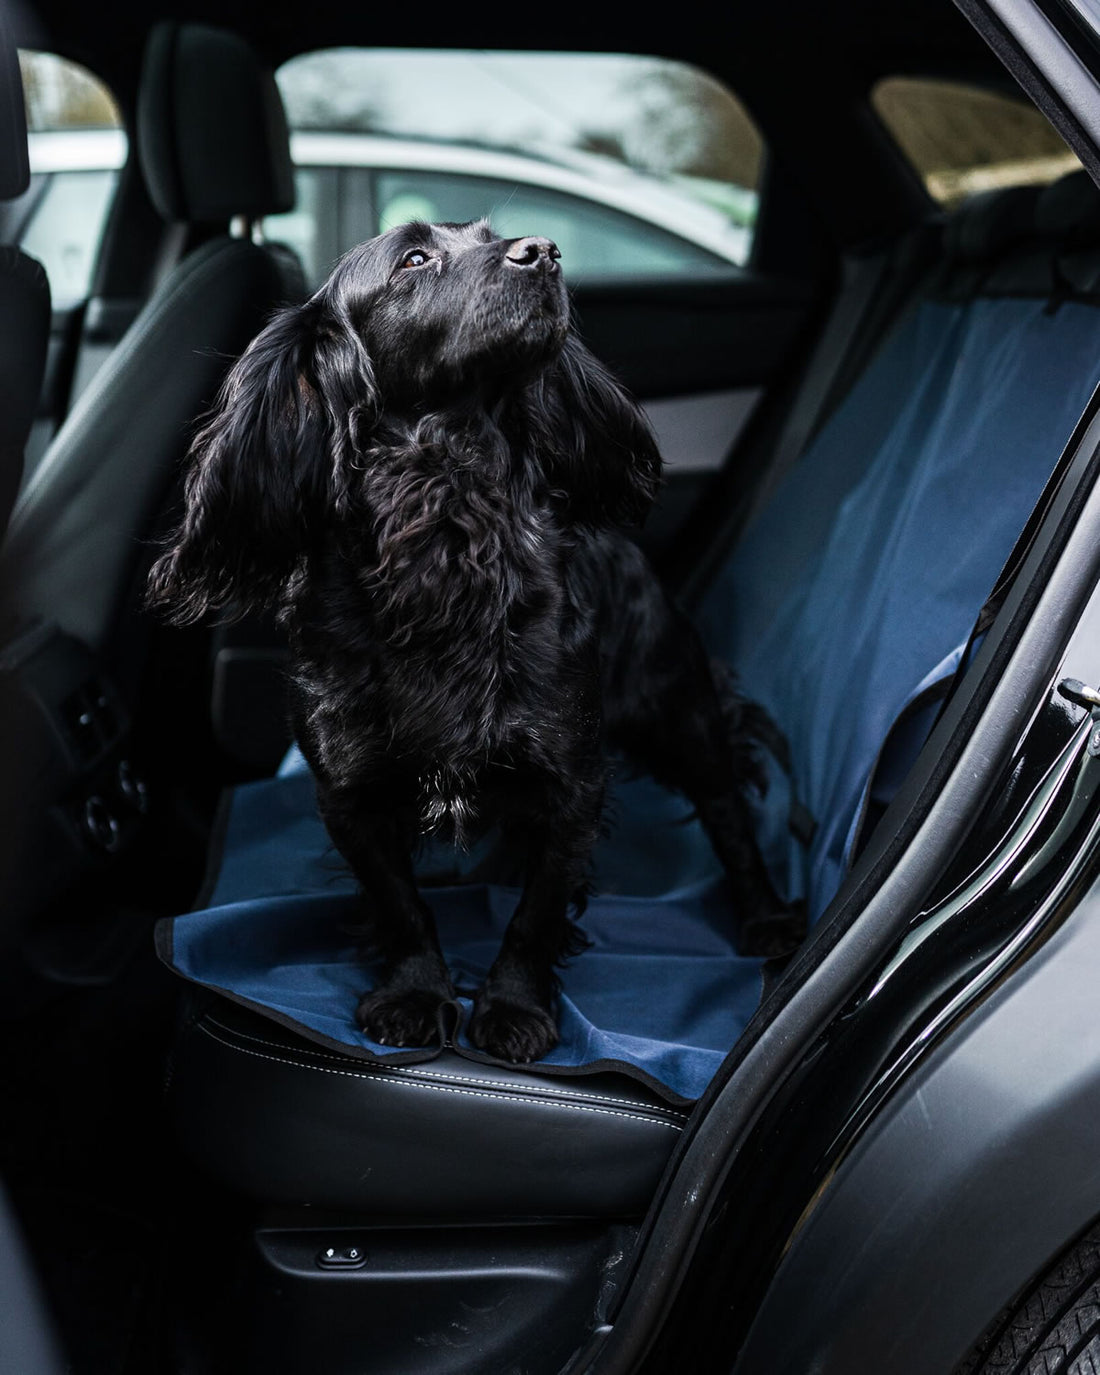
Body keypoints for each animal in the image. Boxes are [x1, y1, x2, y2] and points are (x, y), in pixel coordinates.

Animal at [145, 220, 803, 1061]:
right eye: (414, 259)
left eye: (492, 235)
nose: (544, 252)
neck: (449, 530)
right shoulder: (349, 791)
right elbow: (401, 903)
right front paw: (416, 992)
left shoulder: (570, 780)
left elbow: (535, 914)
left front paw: (513, 1008)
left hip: (678, 707)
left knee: (728, 811)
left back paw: (768, 915)